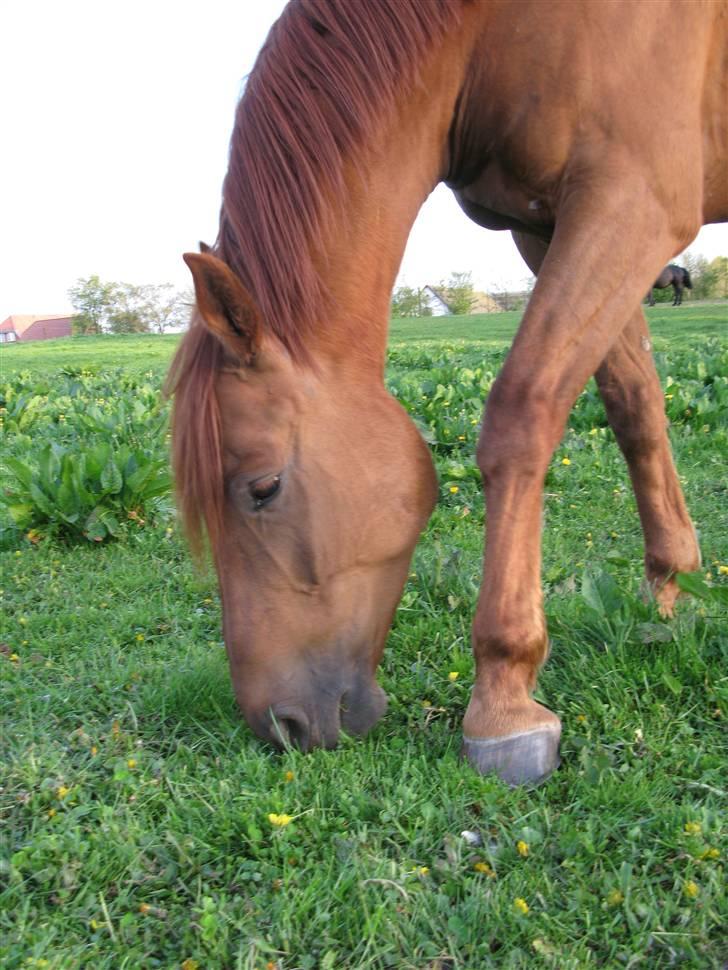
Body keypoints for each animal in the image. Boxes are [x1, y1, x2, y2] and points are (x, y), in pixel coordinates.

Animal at [166, 0, 728, 784]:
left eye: (263, 488)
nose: (279, 726)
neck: (487, 35)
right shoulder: (544, 224)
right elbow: (634, 405)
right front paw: (671, 594)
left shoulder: (631, 201)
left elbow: (524, 408)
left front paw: (504, 699)